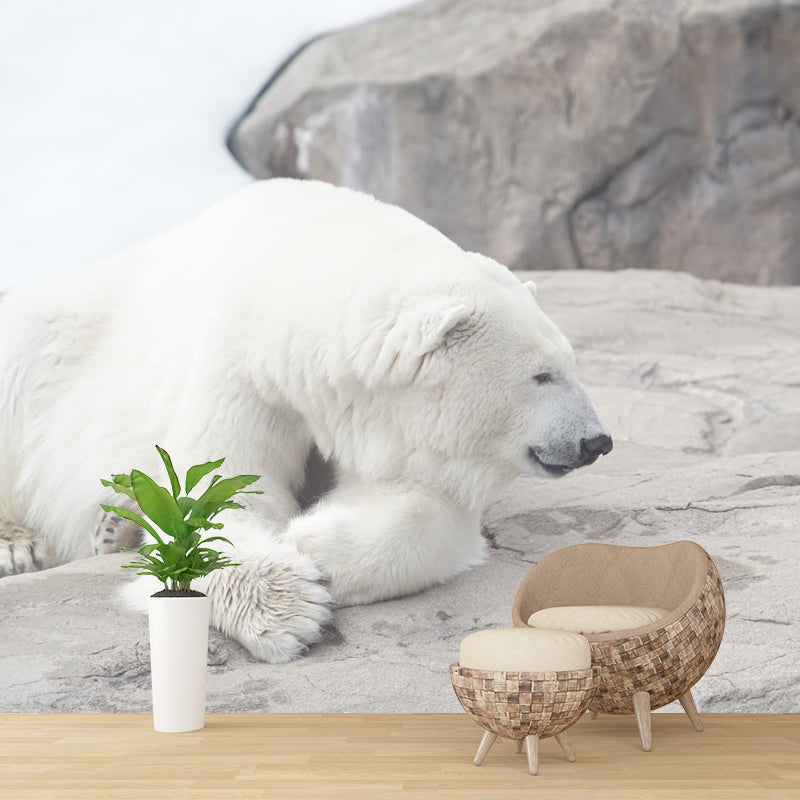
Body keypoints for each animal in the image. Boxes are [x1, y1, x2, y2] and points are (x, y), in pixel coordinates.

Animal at [0, 179, 612, 663]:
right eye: (542, 375)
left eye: (571, 363)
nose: (597, 441)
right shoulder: (244, 364)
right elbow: (215, 495)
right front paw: (288, 608)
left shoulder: (388, 425)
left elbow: (425, 504)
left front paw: (313, 544)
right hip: (45, 338)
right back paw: (23, 543)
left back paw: (116, 525)